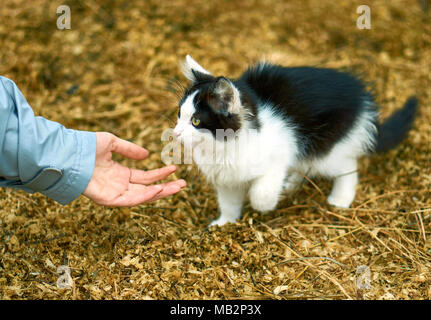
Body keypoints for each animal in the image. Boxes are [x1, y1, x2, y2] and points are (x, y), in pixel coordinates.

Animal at [173, 54, 418, 225]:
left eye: (196, 121)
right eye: (179, 115)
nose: (175, 133)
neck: (222, 147)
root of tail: (362, 97)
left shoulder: (281, 151)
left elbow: (261, 193)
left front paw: (266, 203)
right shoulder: (227, 179)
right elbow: (229, 203)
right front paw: (225, 223)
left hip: (324, 146)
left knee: (348, 165)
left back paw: (340, 197)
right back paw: (292, 183)